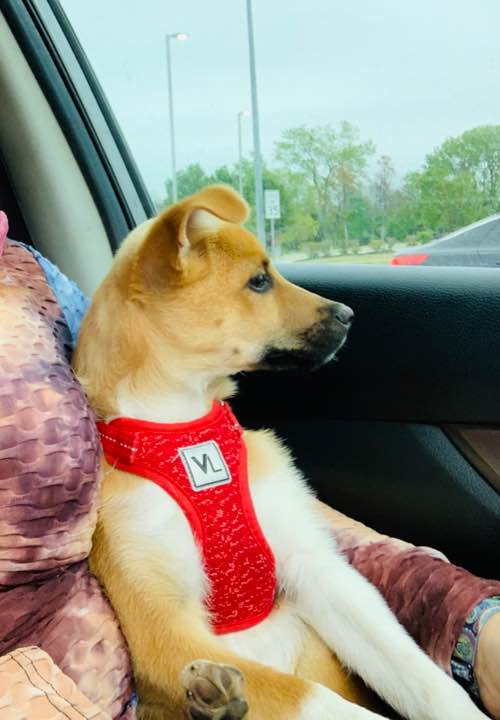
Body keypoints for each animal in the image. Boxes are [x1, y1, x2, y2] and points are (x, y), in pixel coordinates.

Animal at [73, 185, 486, 720]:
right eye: (259, 281)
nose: (349, 316)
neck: (180, 430)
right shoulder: (163, 632)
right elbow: (320, 701)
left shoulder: (317, 568)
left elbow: (421, 677)